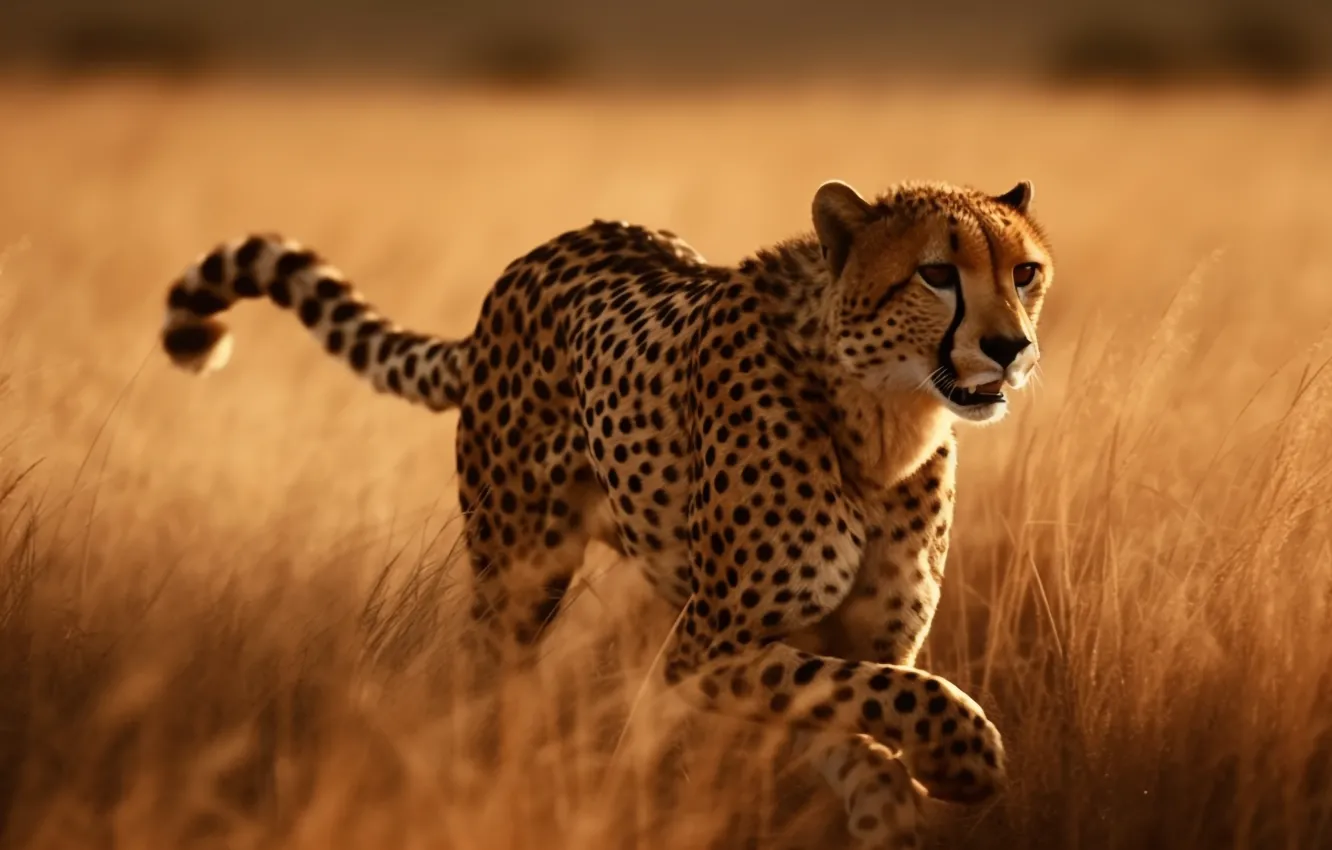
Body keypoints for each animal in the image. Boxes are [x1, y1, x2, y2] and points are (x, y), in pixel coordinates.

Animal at [157, 177, 1054, 848]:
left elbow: (874, 734)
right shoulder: (707, 649)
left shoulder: (838, 651)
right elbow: (913, 698)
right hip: (518, 580)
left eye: (1025, 273)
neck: (884, 421)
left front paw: (920, 782)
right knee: (482, 681)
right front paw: (968, 758)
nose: (1010, 348)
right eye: (937, 274)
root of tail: (538, 255)